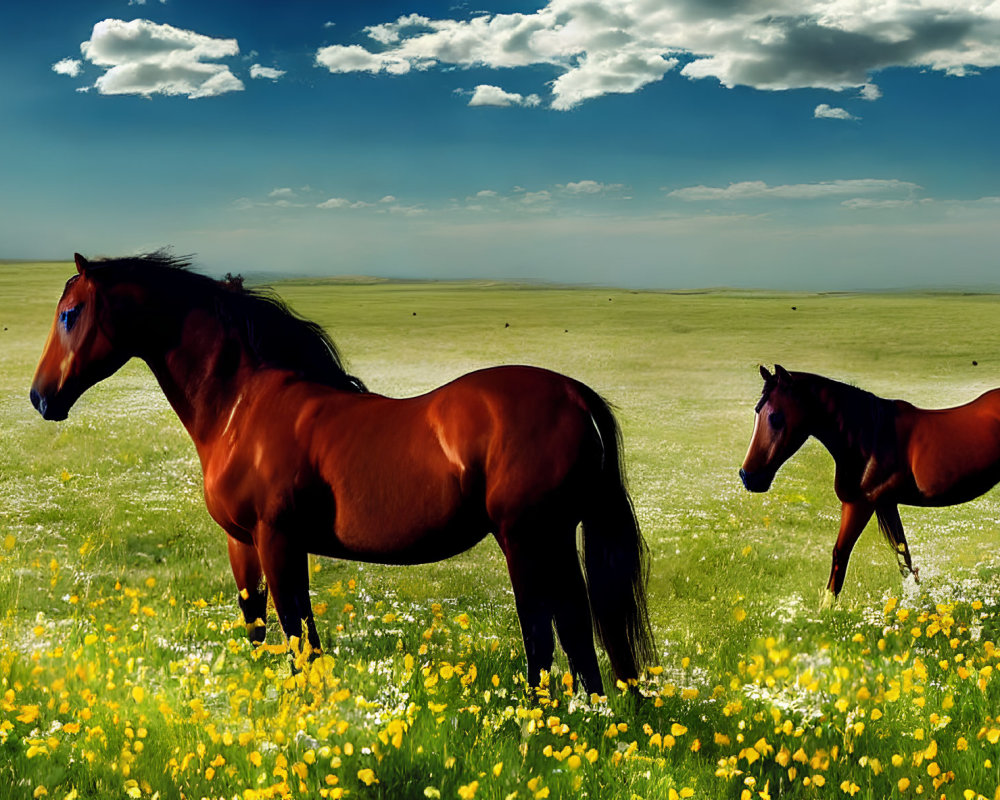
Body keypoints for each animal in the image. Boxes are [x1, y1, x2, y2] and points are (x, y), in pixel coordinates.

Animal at [29, 253, 656, 692]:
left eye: (69, 315)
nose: (40, 398)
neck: (241, 405)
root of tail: (573, 394)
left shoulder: (278, 540)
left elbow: (299, 632)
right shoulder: (242, 543)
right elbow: (259, 624)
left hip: (526, 540)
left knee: (542, 635)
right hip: (555, 540)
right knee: (577, 630)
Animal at [744, 366, 1000, 604]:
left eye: (776, 417)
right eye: (756, 412)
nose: (748, 477)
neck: (870, 438)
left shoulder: (860, 505)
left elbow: (840, 554)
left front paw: (825, 610)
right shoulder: (885, 504)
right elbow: (903, 557)